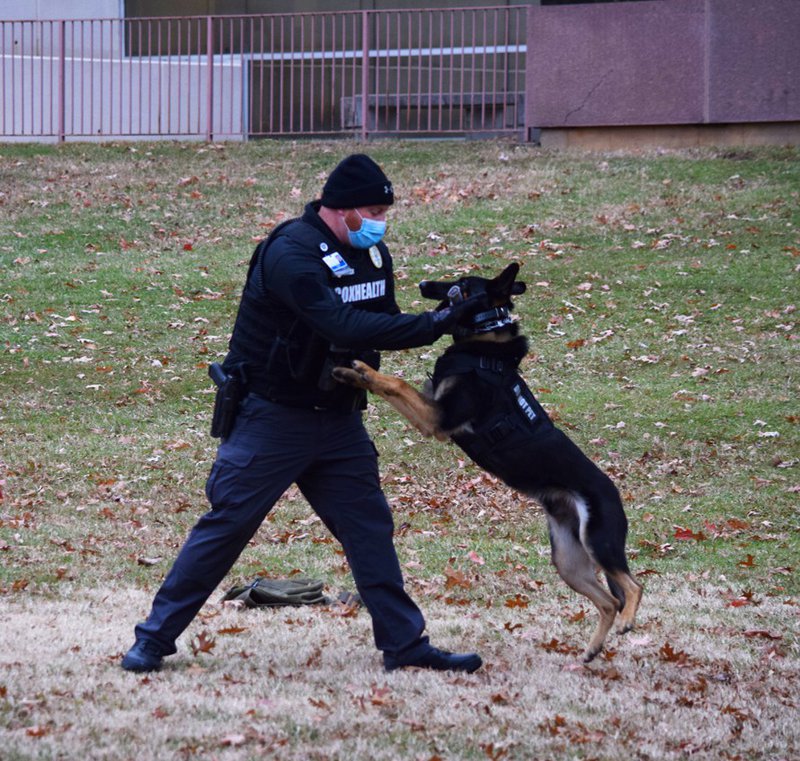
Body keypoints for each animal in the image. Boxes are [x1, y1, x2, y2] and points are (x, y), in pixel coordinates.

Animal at [332, 264, 644, 664]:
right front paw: (349, 372)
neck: (485, 342)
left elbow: (395, 383)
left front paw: (362, 370)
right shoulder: (432, 413)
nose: (422, 283)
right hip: (568, 560)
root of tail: (615, 494)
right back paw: (592, 649)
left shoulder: (438, 419)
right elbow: (389, 385)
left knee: (632, 587)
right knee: (608, 602)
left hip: (599, 541)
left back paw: (627, 621)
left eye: (462, 285)